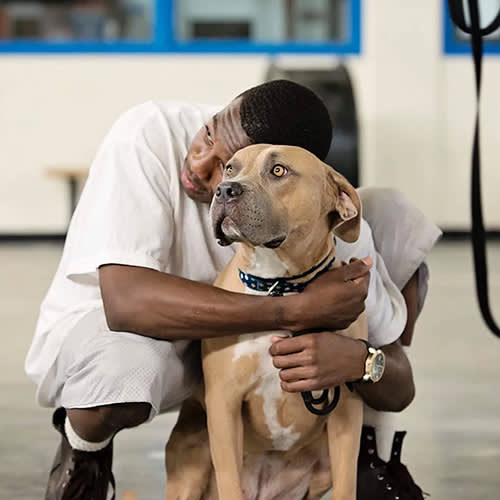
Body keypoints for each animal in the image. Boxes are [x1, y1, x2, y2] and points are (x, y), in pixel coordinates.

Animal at [164, 145, 368, 500]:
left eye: (278, 171)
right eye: (230, 169)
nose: (225, 190)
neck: (278, 287)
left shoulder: (346, 408)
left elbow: (347, 486)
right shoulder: (224, 403)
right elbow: (230, 481)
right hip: (194, 457)